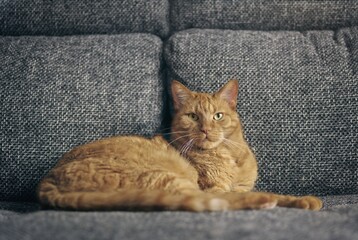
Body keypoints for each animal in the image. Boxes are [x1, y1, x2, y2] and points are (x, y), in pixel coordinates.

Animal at [37, 79, 324, 211]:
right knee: (213, 202)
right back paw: (262, 201)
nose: (206, 129)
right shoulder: (215, 187)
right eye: (193, 116)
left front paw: (303, 200)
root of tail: (47, 180)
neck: (230, 155)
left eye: (217, 116)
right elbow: (249, 194)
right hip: (167, 179)